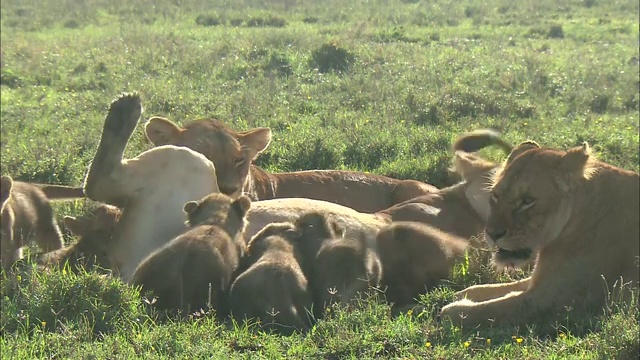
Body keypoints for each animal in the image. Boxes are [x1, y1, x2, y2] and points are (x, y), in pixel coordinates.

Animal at [440, 136, 640, 328]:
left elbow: (491, 309)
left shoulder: (550, 300)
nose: (492, 234)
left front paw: (453, 309)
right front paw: (463, 294)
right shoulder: (541, 280)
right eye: (495, 196)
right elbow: (496, 288)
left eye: (528, 200)